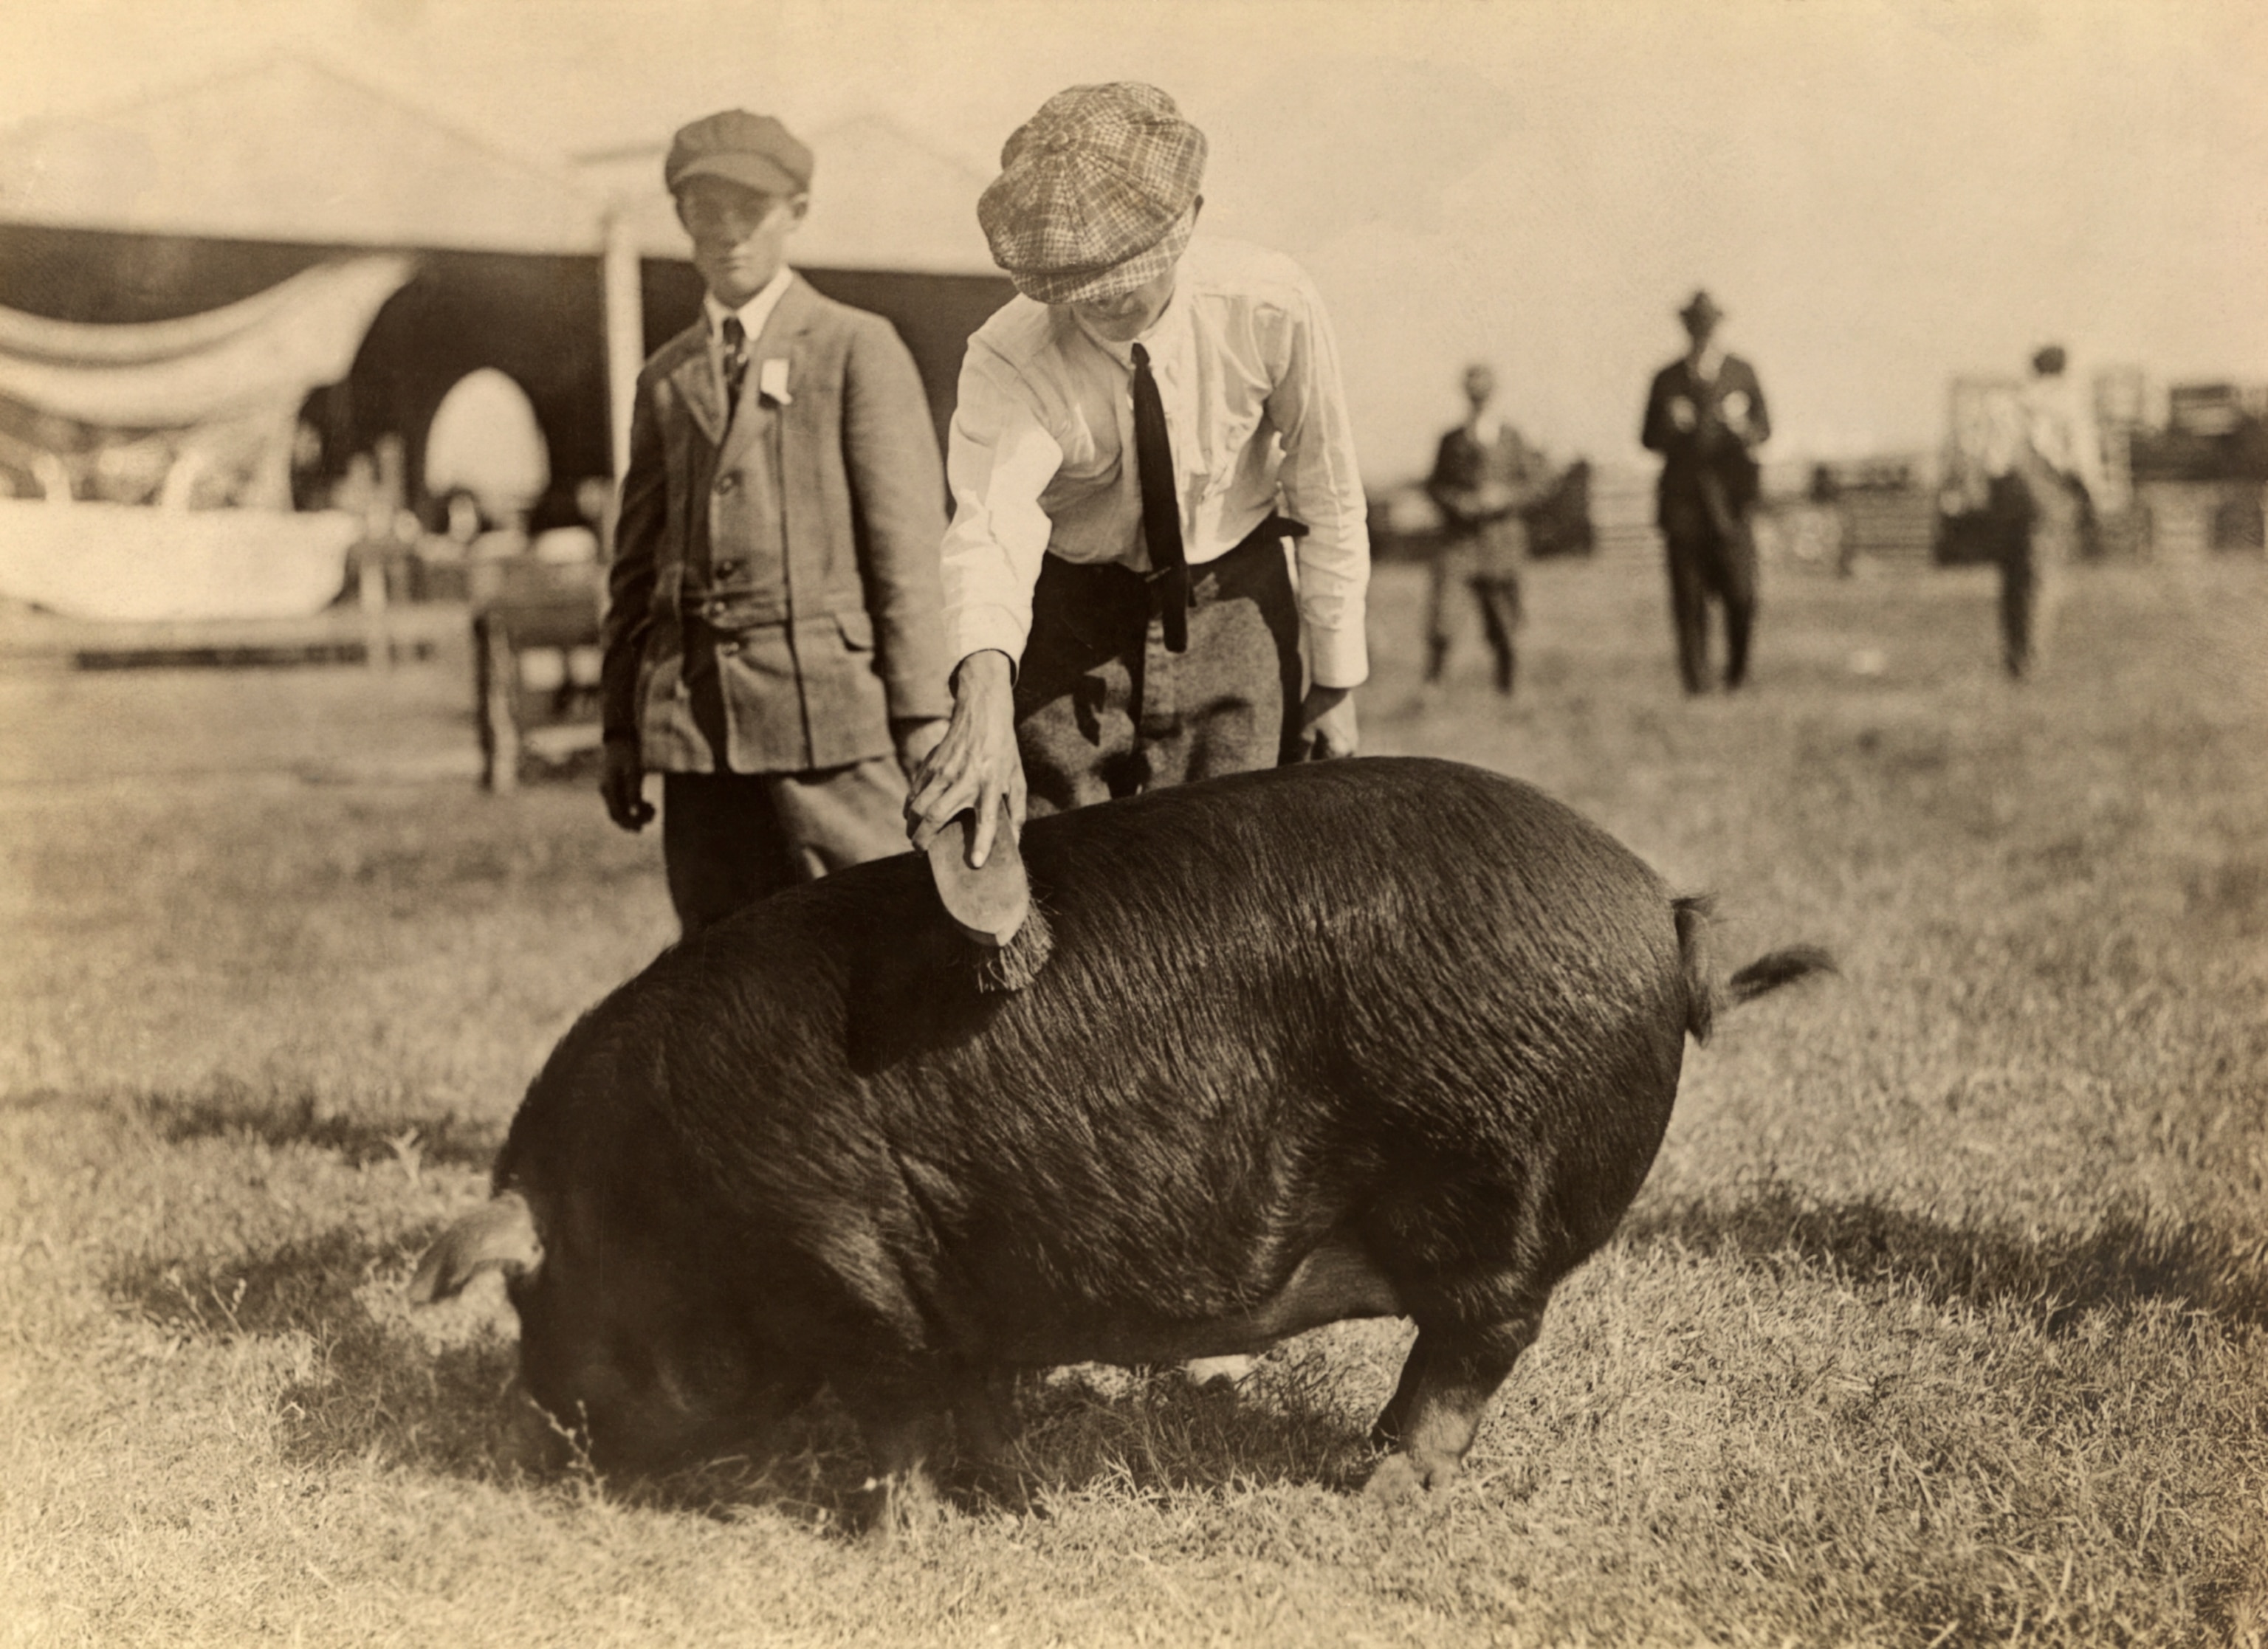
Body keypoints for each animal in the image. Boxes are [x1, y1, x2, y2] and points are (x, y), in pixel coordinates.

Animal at [412, 755, 1828, 1519]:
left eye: (536, 1301)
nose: (550, 1448)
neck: (667, 1193)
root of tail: (1657, 904)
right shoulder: (954, 1297)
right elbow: (973, 1403)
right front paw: (994, 1491)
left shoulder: (852, 1275)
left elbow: (894, 1418)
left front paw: (888, 1526)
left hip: (1491, 1196)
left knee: (1473, 1351)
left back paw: (1377, 1488)